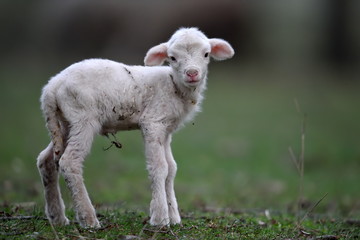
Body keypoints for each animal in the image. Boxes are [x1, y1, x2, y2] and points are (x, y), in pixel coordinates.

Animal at [35, 27, 233, 228]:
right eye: (172, 57)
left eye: (206, 54)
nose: (192, 73)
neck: (172, 84)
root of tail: (51, 87)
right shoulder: (152, 122)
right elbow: (160, 167)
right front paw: (160, 218)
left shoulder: (166, 130)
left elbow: (171, 168)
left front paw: (175, 217)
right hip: (83, 117)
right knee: (69, 161)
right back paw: (89, 219)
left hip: (64, 122)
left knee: (47, 159)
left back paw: (57, 218)